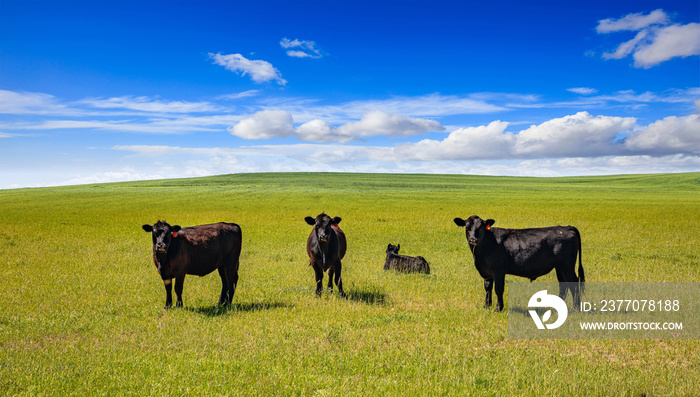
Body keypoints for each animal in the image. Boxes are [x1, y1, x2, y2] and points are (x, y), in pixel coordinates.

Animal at [452, 215, 584, 310]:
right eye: (467, 228)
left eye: (480, 228)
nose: (473, 239)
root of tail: (566, 227)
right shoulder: (487, 272)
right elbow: (488, 288)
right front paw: (486, 306)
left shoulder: (498, 270)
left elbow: (498, 288)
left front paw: (498, 308)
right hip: (559, 267)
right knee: (563, 285)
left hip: (567, 266)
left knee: (573, 283)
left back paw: (576, 308)